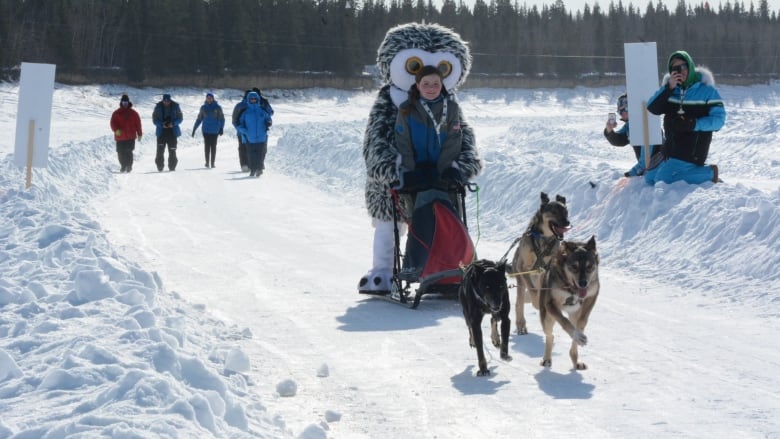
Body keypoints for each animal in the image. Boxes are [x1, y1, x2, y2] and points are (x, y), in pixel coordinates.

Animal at [508, 192, 568, 334]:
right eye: (554, 211)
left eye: (566, 211)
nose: (567, 222)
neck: (544, 239)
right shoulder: (523, 268)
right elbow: (533, 291)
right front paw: (536, 302)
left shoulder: (544, 270)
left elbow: (539, 292)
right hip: (520, 278)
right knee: (519, 302)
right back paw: (521, 323)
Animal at [540, 237, 600, 372]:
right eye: (574, 267)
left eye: (589, 267)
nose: (583, 283)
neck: (571, 289)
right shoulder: (550, 304)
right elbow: (564, 321)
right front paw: (577, 336)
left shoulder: (592, 296)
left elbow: (582, 322)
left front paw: (579, 335)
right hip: (546, 318)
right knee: (550, 336)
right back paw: (547, 359)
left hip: (573, 313)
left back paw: (576, 360)